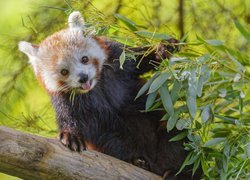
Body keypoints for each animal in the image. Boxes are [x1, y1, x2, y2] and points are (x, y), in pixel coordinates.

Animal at [18, 11, 201, 179]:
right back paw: (138, 161)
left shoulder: (117, 58)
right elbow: (71, 119)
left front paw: (163, 48)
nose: (83, 78)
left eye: (84, 59)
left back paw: (180, 172)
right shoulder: (66, 100)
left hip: (168, 128)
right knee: (115, 144)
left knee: (177, 139)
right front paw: (70, 135)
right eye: (64, 71)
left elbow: (140, 60)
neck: (96, 87)